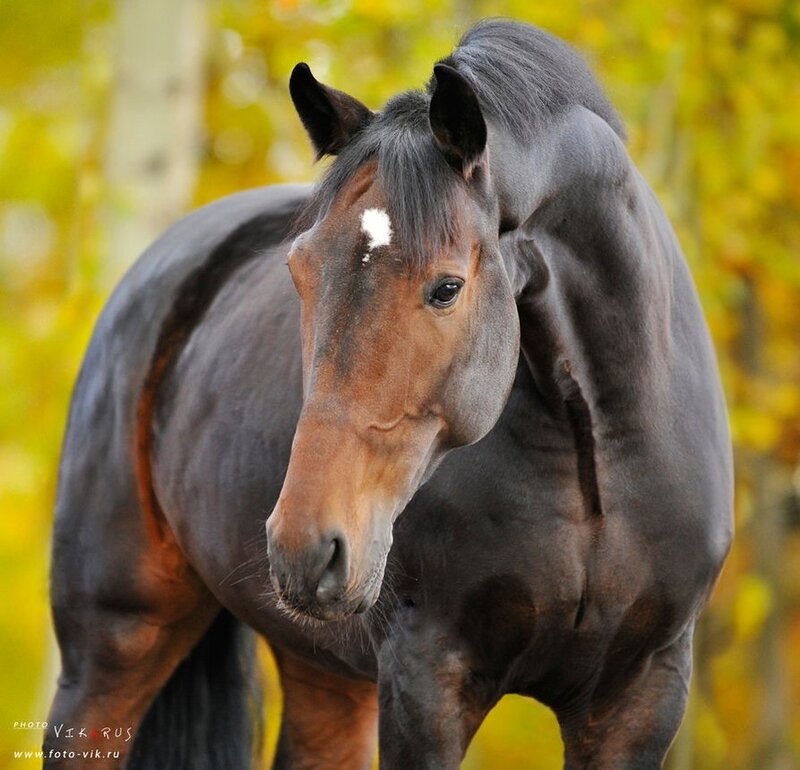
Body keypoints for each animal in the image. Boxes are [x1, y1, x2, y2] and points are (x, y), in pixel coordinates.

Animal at [46, 19, 733, 770]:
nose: (304, 545)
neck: (596, 461)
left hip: (323, 674)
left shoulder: (640, 695)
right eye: (300, 270)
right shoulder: (425, 679)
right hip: (112, 646)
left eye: (447, 287)